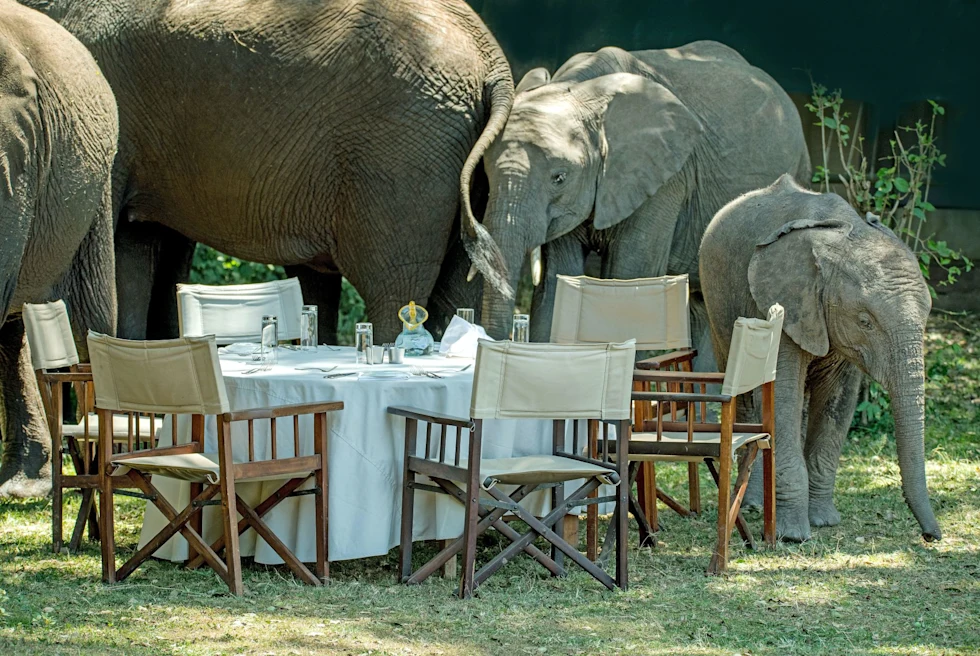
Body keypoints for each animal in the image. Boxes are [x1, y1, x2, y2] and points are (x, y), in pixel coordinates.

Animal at [464, 41, 808, 358]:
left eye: (558, 177)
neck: (582, 89)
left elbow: (630, 277)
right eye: (486, 175)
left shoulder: (667, 178)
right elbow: (559, 279)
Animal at [696, 174, 940, 544]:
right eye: (865, 321)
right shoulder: (783, 301)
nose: (931, 536)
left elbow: (837, 402)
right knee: (747, 398)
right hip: (717, 304)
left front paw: (824, 521)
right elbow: (781, 396)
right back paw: (752, 505)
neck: (844, 233)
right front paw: (793, 535)